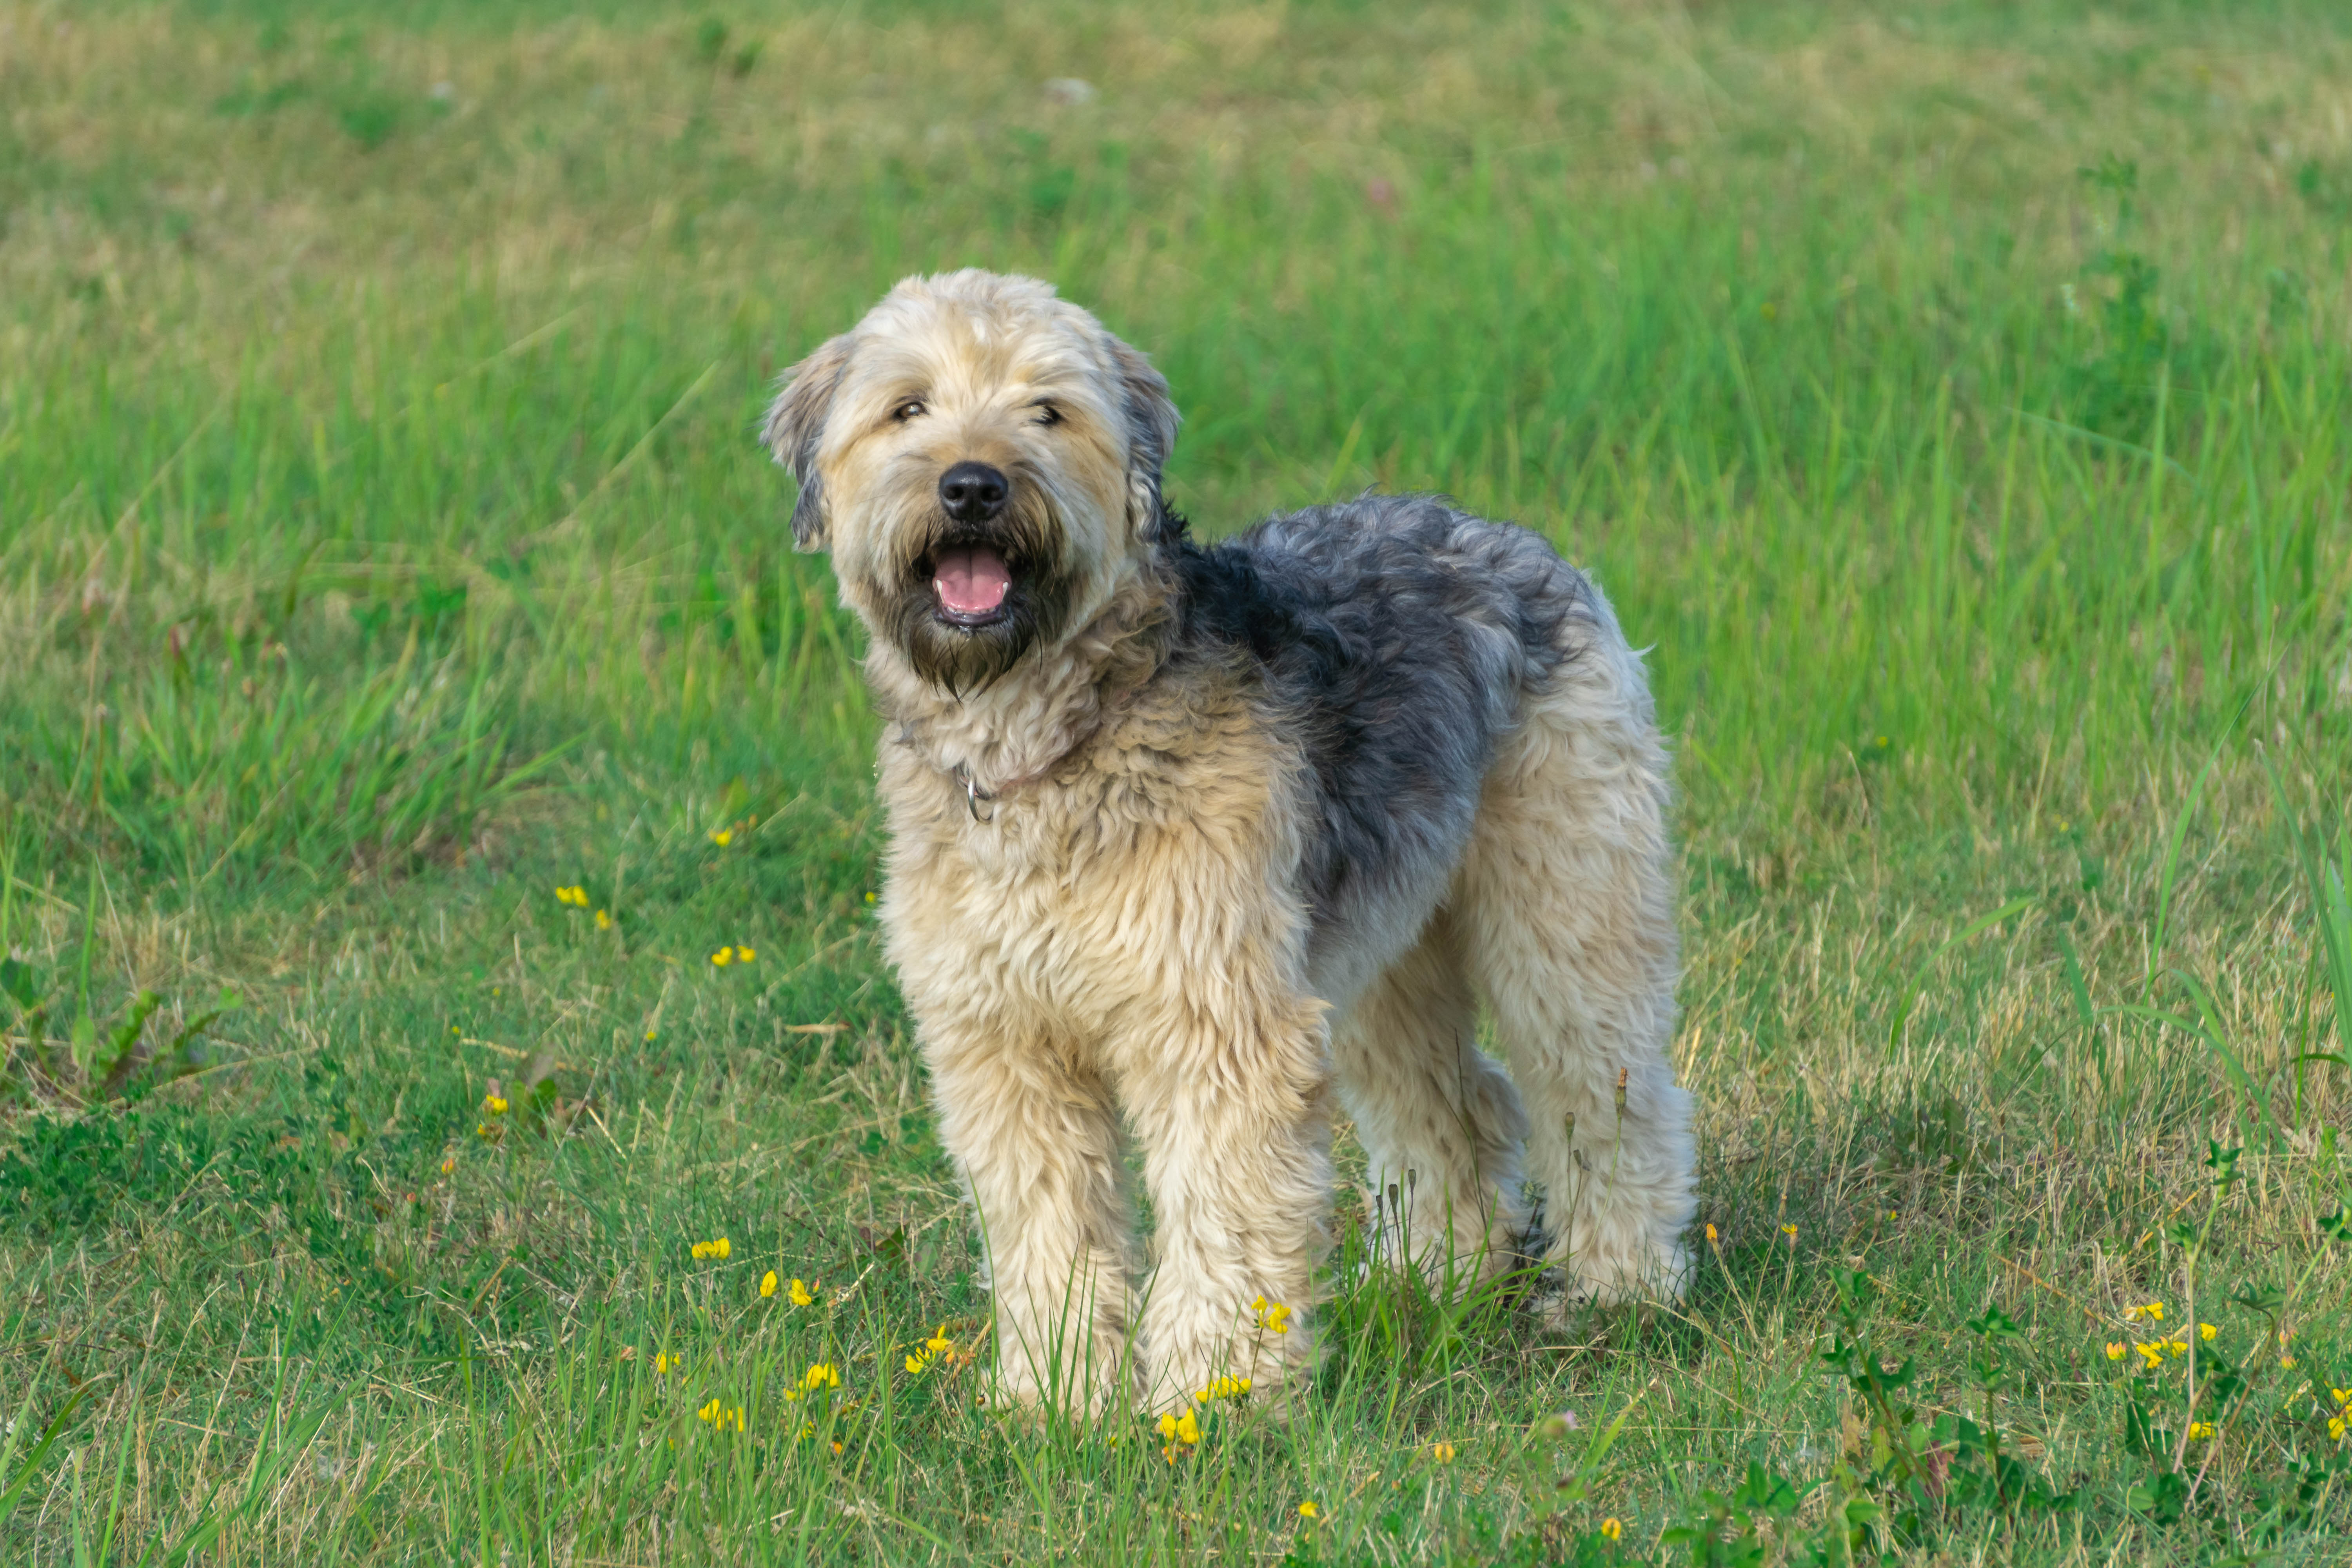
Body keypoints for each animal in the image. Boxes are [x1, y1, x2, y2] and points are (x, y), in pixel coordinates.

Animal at [762, 272, 1703, 1420]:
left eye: (1047, 411)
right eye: (908, 409)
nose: (973, 487)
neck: (1050, 740)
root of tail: (1525, 545)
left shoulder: (1214, 1014)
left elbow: (1225, 1211)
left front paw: (1215, 1398)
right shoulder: (1005, 1041)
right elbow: (1048, 1228)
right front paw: (1055, 1397)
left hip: (1565, 913)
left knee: (1609, 1098)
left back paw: (1620, 1288)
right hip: (1376, 956)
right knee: (1461, 1108)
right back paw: (1432, 1281)